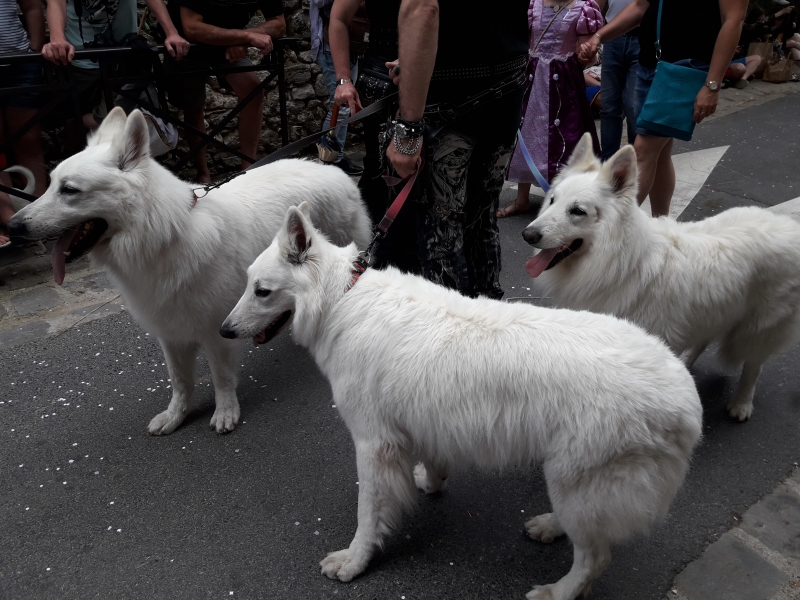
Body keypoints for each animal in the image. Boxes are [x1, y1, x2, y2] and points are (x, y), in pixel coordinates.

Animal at [8, 107, 372, 435]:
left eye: (69, 190)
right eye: (51, 185)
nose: (12, 227)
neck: (165, 235)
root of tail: (333, 171)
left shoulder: (216, 331)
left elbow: (221, 379)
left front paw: (225, 412)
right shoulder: (170, 332)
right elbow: (180, 381)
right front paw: (176, 416)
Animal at [220, 203, 703, 600]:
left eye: (261, 291)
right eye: (248, 285)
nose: (224, 331)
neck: (342, 297)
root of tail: (686, 396)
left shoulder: (373, 445)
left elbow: (368, 514)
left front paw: (355, 562)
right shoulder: (424, 423)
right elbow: (433, 465)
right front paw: (431, 484)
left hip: (573, 478)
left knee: (594, 558)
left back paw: (557, 591)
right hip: (574, 484)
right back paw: (550, 526)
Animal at [522, 132, 800, 422]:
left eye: (578, 211)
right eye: (552, 200)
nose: (527, 234)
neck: (621, 262)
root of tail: (788, 224)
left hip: (760, 326)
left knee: (754, 365)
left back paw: (742, 403)